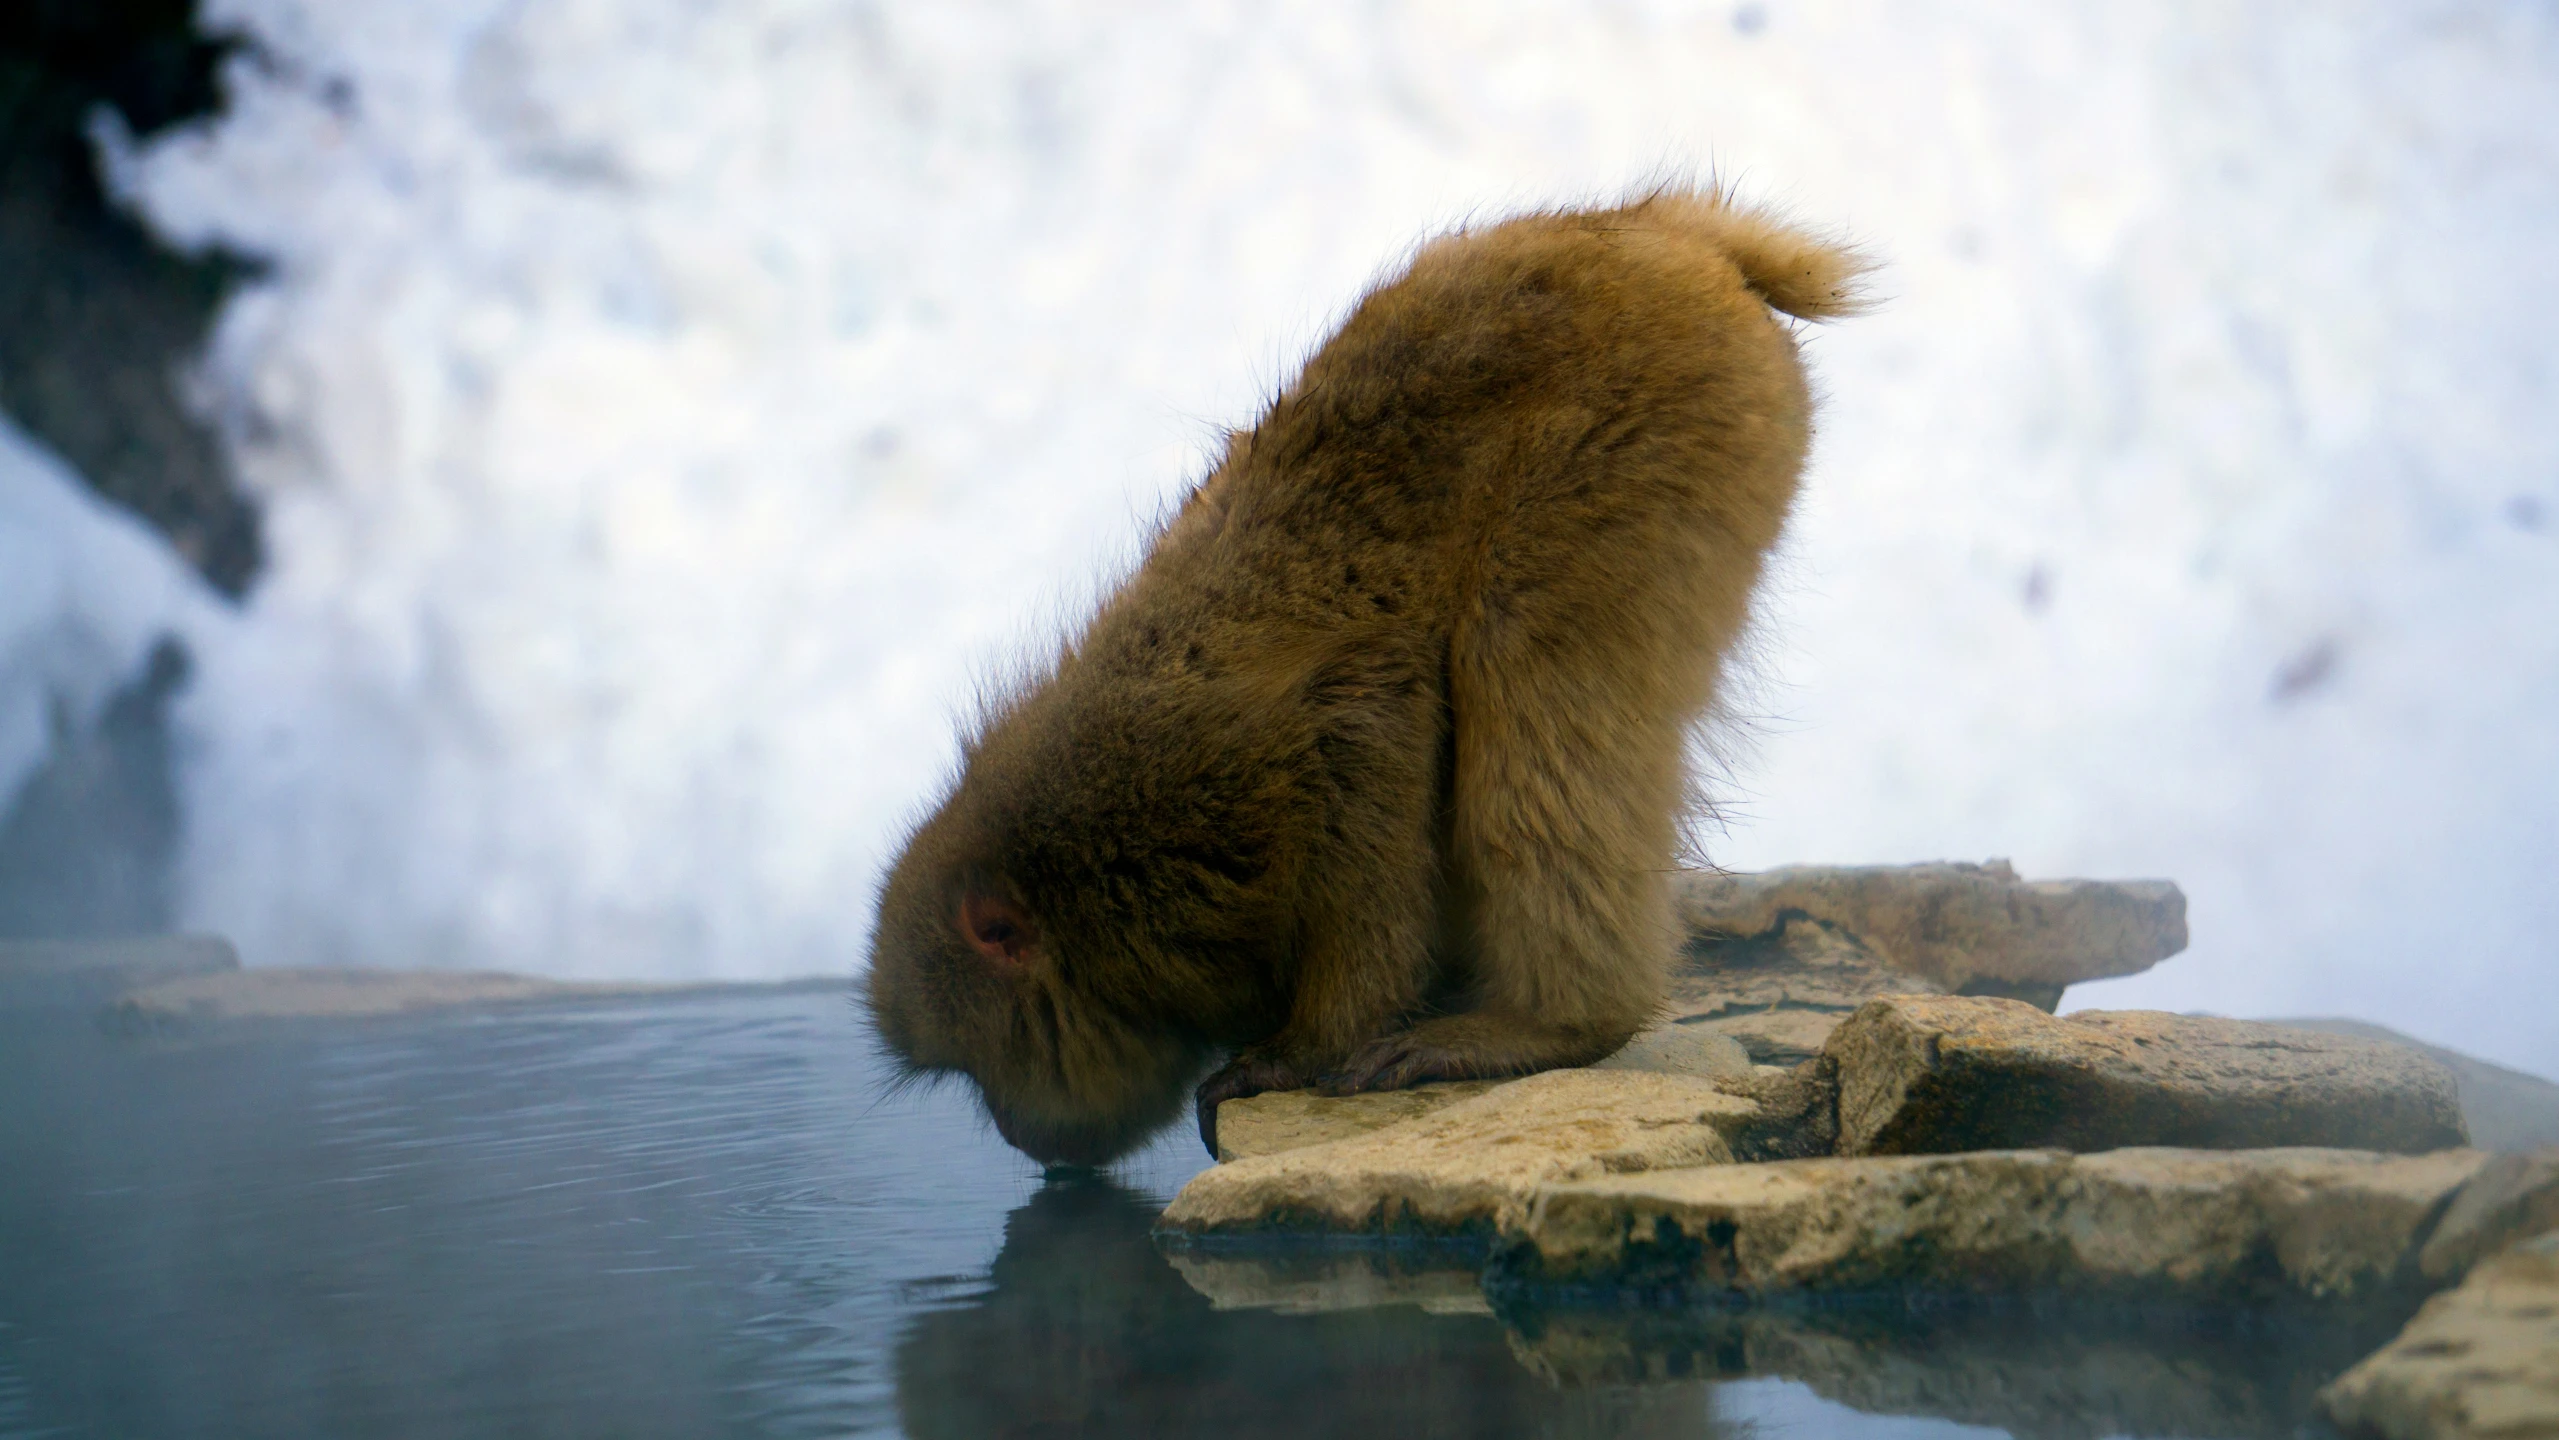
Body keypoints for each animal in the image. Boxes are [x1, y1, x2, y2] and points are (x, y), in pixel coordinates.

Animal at [859, 191, 1862, 1166]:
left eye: (981, 1067)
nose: (1018, 1135)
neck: (1080, 864)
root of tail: (1666, 231)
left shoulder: (1223, 767)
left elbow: (1369, 737)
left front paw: (1305, 1049)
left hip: (1653, 411)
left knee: (1521, 659)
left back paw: (1553, 1025)